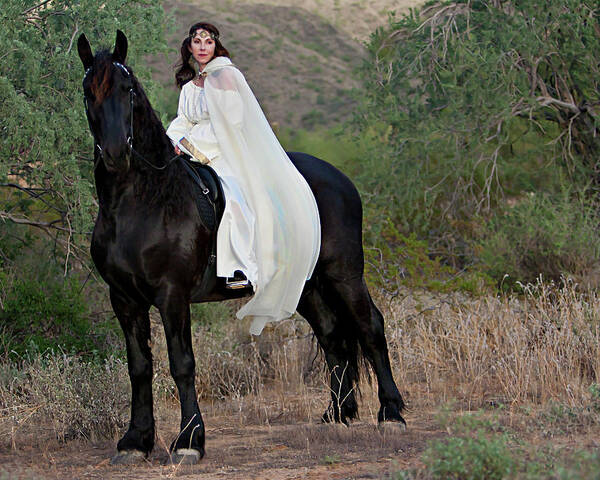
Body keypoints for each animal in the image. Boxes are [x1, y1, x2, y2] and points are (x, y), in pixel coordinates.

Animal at [75, 31, 404, 464]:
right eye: (88, 92)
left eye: (128, 89)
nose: (115, 154)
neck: (144, 201)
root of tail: (339, 178)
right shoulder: (124, 298)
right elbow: (139, 366)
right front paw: (135, 440)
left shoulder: (172, 295)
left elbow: (182, 363)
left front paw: (189, 441)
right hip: (306, 285)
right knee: (333, 336)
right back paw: (337, 414)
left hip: (344, 274)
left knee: (370, 327)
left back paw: (391, 413)